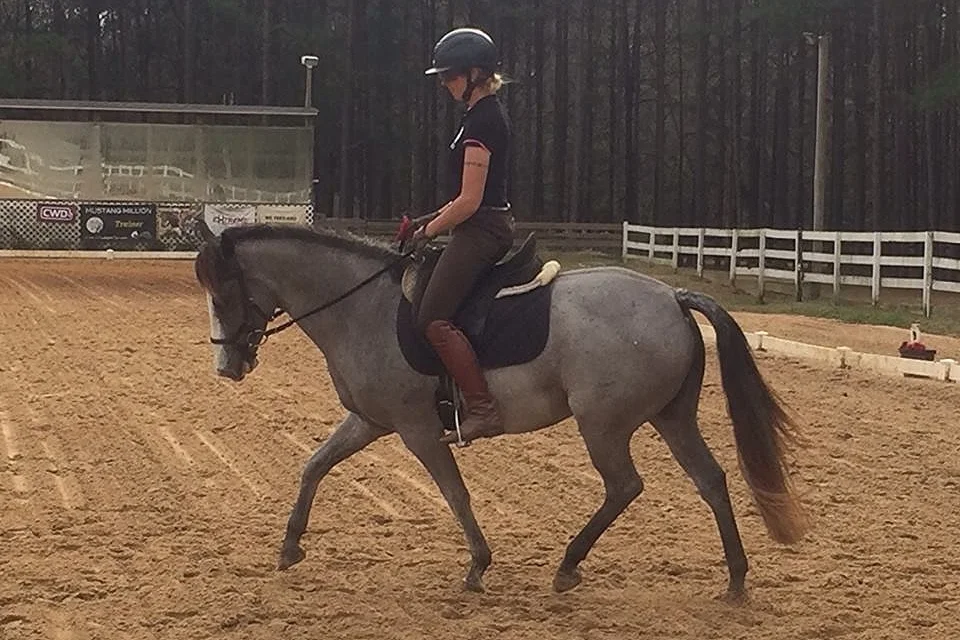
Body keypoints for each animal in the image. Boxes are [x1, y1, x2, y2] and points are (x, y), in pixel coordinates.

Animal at [193, 221, 808, 600]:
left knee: (625, 486)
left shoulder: (417, 430)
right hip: (671, 417)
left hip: (603, 424)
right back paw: (735, 578)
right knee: (710, 479)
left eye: (223, 294)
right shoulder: (370, 421)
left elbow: (455, 493)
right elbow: (314, 465)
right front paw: (290, 546)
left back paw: (568, 565)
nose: (227, 367)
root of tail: (671, 297)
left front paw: (478, 565)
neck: (361, 306)